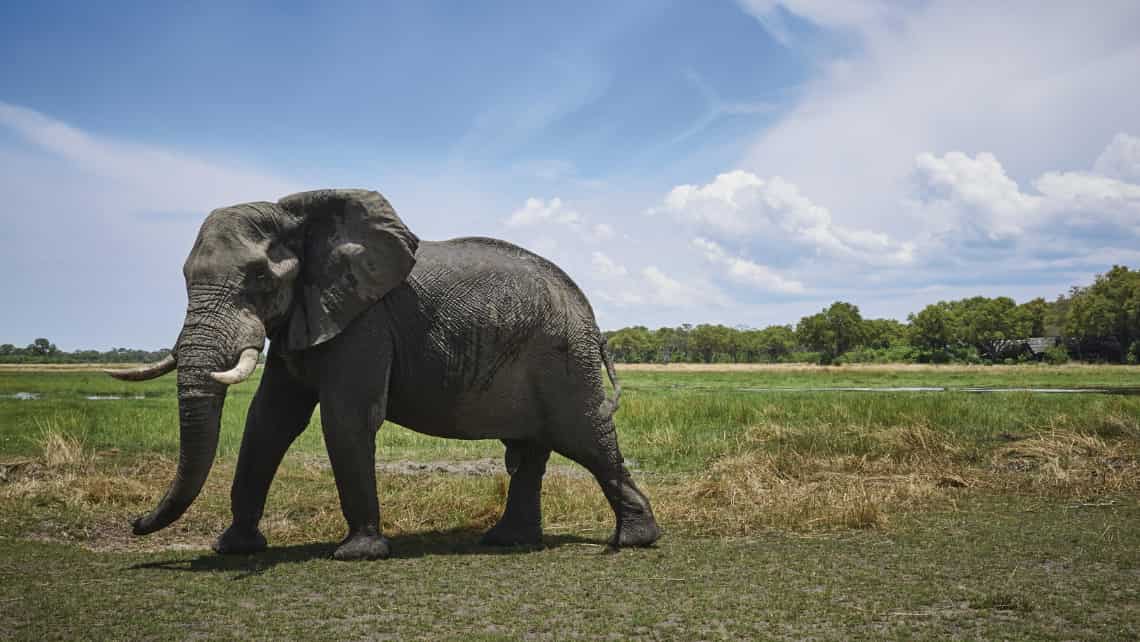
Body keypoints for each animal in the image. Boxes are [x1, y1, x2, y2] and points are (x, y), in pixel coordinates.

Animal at [108, 188, 661, 561]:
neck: (298, 214)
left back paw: (634, 540)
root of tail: (589, 311)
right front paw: (234, 549)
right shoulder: (306, 316)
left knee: (584, 437)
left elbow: (346, 417)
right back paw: (507, 541)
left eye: (260, 277)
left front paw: (357, 553)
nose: (134, 523)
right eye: (184, 277)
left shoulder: (364, 320)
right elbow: (269, 421)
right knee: (529, 452)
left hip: (563, 359)